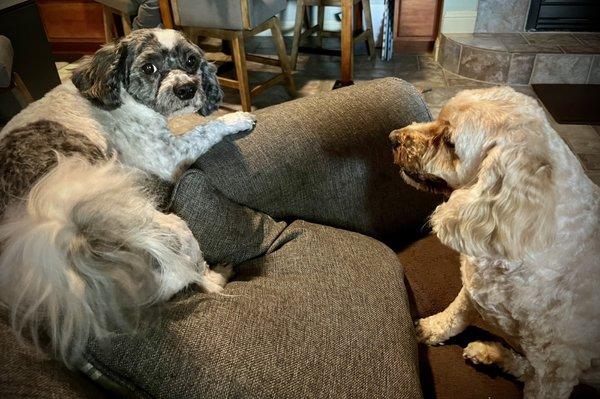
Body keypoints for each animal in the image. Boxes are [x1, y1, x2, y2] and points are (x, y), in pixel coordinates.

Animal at [0, 27, 255, 366]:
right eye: (149, 68)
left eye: (191, 61)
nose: (187, 89)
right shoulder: (168, 155)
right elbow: (203, 129)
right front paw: (236, 118)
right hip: (175, 232)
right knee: (197, 276)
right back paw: (219, 275)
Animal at [390, 86, 600, 398]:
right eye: (438, 118)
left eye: (450, 143)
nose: (392, 138)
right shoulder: (474, 286)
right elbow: (456, 314)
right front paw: (432, 328)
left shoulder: (557, 370)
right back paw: (492, 354)